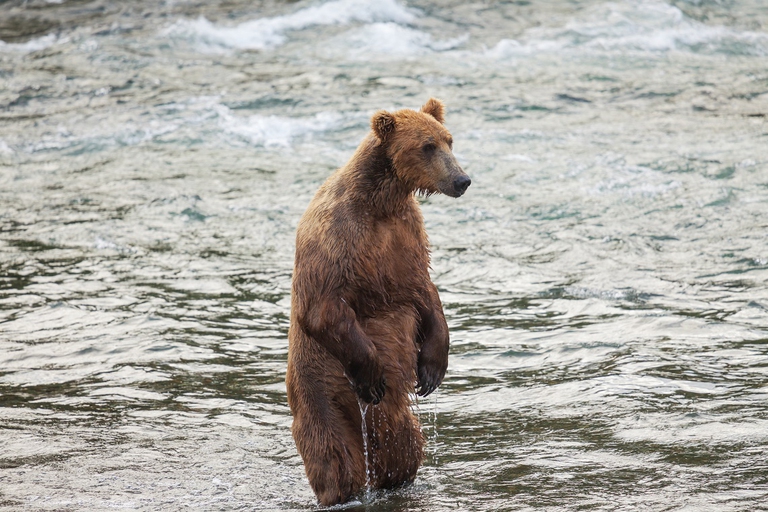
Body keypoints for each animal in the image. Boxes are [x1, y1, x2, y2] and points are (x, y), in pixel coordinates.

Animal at [285, 98, 470, 506]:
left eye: (449, 140)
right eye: (427, 145)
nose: (462, 180)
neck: (381, 202)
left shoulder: (405, 237)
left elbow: (425, 291)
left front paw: (432, 370)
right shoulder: (340, 235)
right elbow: (323, 307)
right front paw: (371, 375)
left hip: (392, 421)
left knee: (403, 448)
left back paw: (396, 481)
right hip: (320, 393)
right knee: (335, 459)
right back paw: (342, 490)